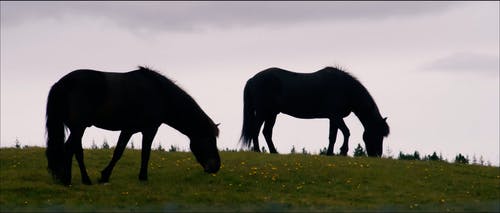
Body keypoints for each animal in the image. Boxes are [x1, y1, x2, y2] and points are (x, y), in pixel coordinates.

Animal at [45, 65, 221, 186]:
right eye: (210, 140)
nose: (216, 167)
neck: (160, 94)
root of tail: (62, 83)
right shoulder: (149, 129)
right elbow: (143, 153)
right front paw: (142, 177)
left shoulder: (128, 130)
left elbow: (119, 151)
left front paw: (105, 176)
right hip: (78, 127)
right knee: (69, 149)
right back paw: (70, 181)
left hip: (77, 128)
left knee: (76, 151)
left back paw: (81, 180)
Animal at [240, 66, 388, 156]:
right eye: (377, 133)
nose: (377, 154)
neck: (345, 88)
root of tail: (252, 79)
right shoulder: (336, 116)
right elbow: (346, 132)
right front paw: (343, 151)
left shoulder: (333, 118)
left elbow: (332, 136)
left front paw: (330, 153)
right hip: (262, 112)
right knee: (256, 130)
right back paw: (258, 151)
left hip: (272, 114)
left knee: (266, 132)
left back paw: (273, 152)